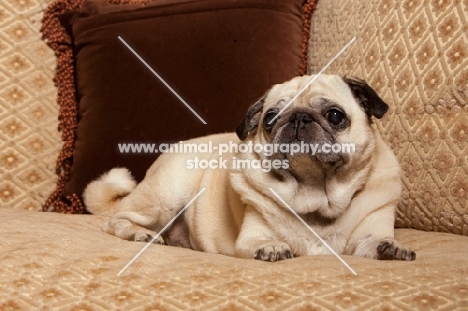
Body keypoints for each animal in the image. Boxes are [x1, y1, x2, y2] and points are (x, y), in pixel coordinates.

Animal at [85, 74, 416, 262]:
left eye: (335, 116)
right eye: (270, 119)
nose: (298, 117)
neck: (316, 199)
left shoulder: (368, 232)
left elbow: (374, 242)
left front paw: (391, 248)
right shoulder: (250, 237)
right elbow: (262, 242)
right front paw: (272, 248)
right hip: (165, 197)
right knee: (114, 220)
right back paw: (141, 235)